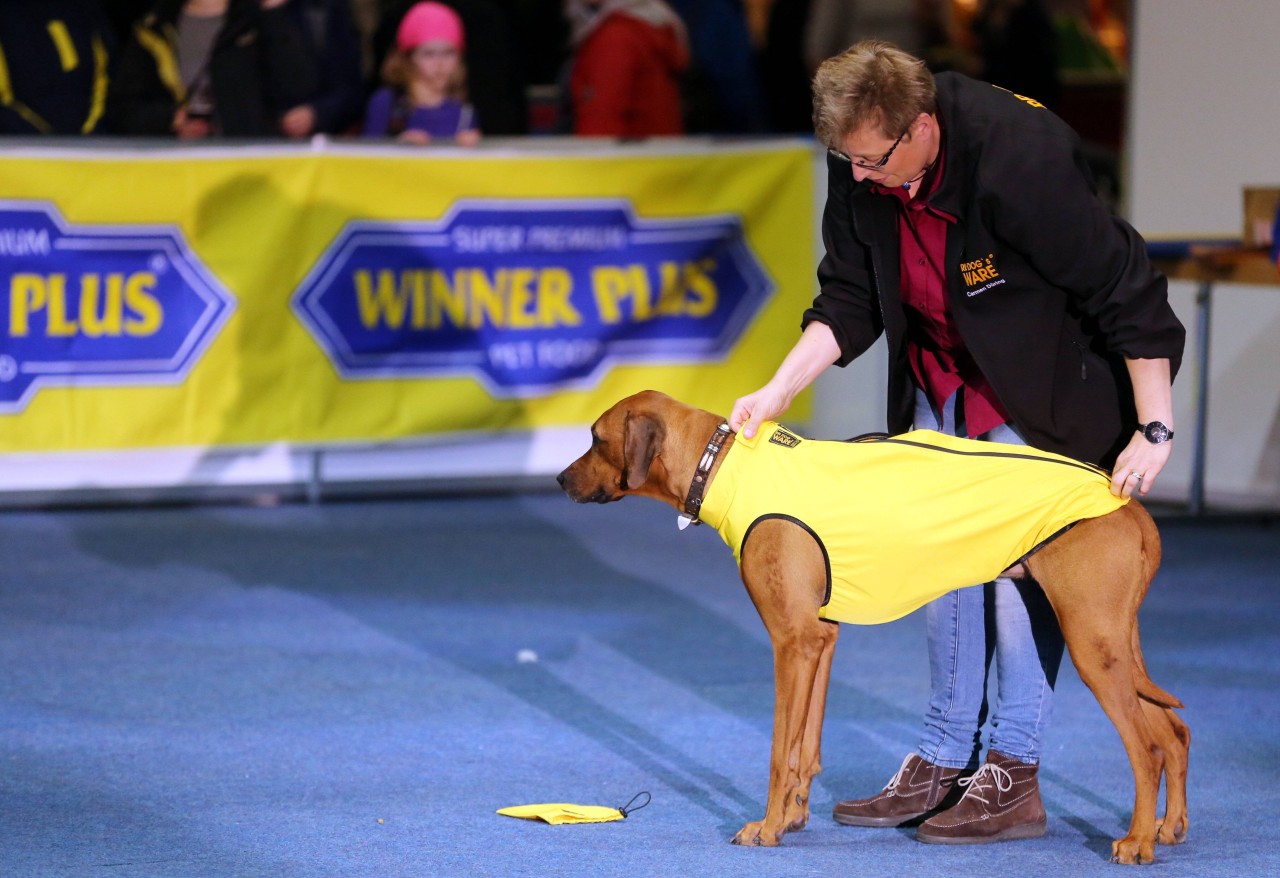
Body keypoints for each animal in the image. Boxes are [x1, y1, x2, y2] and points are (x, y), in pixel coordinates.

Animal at [558, 391, 1187, 865]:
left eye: (594, 438)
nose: (561, 480)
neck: (726, 465)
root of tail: (1127, 501)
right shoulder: (820, 638)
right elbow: (805, 746)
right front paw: (793, 816)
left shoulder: (791, 642)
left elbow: (779, 750)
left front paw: (765, 827)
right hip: (1113, 641)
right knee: (1173, 732)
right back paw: (1171, 828)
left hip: (1090, 641)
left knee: (1148, 748)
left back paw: (1137, 841)